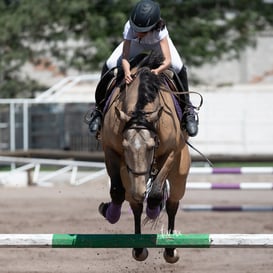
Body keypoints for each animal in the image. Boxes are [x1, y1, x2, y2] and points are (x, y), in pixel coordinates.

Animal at [99, 52, 190, 262]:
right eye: (125, 147)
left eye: (151, 147)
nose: (139, 190)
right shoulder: (111, 150)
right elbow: (117, 192)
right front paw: (110, 213)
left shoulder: (171, 151)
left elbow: (156, 193)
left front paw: (153, 209)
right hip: (128, 176)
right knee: (134, 204)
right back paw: (139, 248)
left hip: (179, 176)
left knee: (172, 203)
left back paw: (170, 250)